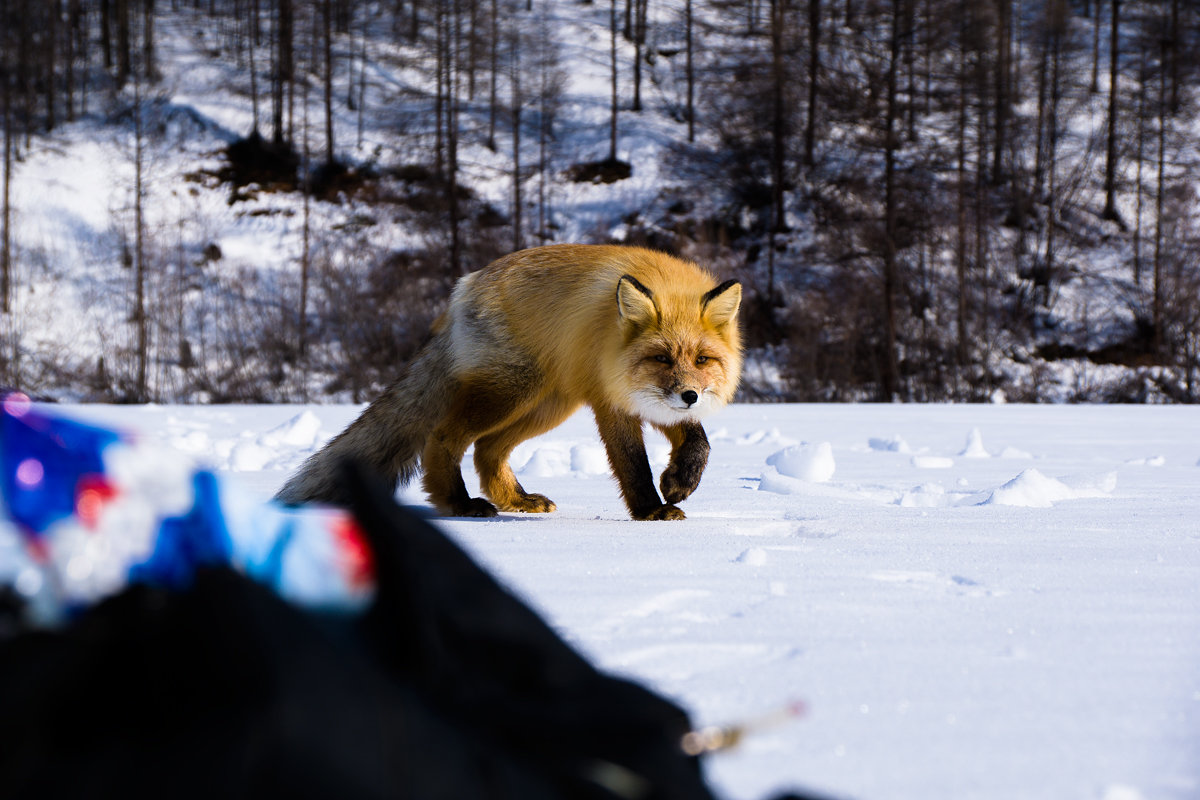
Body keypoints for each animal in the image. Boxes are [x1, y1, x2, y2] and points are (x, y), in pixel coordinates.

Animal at [276, 244, 739, 520]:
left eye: (701, 360)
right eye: (661, 358)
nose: (689, 394)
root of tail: (463, 287)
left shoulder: (647, 399)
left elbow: (699, 442)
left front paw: (679, 482)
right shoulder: (612, 399)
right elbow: (632, 463)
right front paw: (649, 511)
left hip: (545, 405)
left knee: (486, 449)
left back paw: (515, 500)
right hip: (513, 392)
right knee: (443, 437)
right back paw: (458, 503)